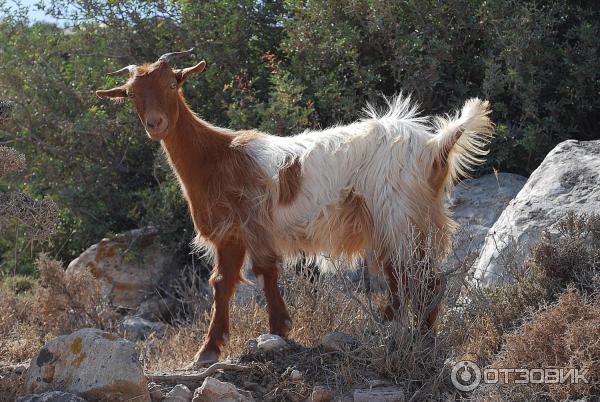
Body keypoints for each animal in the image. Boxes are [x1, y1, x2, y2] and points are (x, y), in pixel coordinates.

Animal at [97, 49, 492, 368]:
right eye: (130, 94)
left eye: (172, 84)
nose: (156, 124)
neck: (215, 156)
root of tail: (434, 146)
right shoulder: (235, 234)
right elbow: (231, 282)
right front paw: (218, 348)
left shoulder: (247, 226)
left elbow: (255, 275)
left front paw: (269, 334)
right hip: (394, 221)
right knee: (402, 276)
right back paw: (392, 326)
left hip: (400, 214)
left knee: (426, 279)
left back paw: (421, 341)